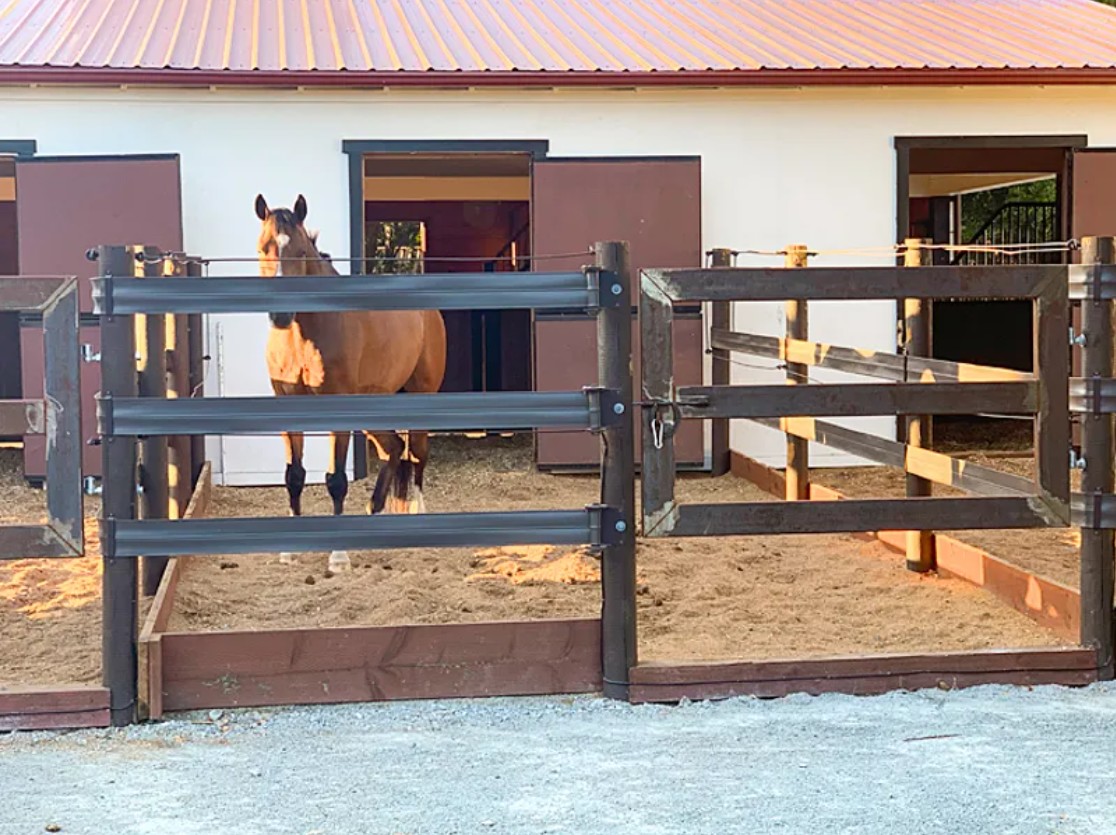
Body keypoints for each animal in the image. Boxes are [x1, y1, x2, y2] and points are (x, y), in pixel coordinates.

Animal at [255, 194, 446, 576]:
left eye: (301, 251)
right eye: (264, 248)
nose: (281, 314)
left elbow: (336, 479)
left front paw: (338, 556)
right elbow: (294, 475)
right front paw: (288, 551)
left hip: (422, 395)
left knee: (417, 454)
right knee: (392, 449)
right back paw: (374, 512)